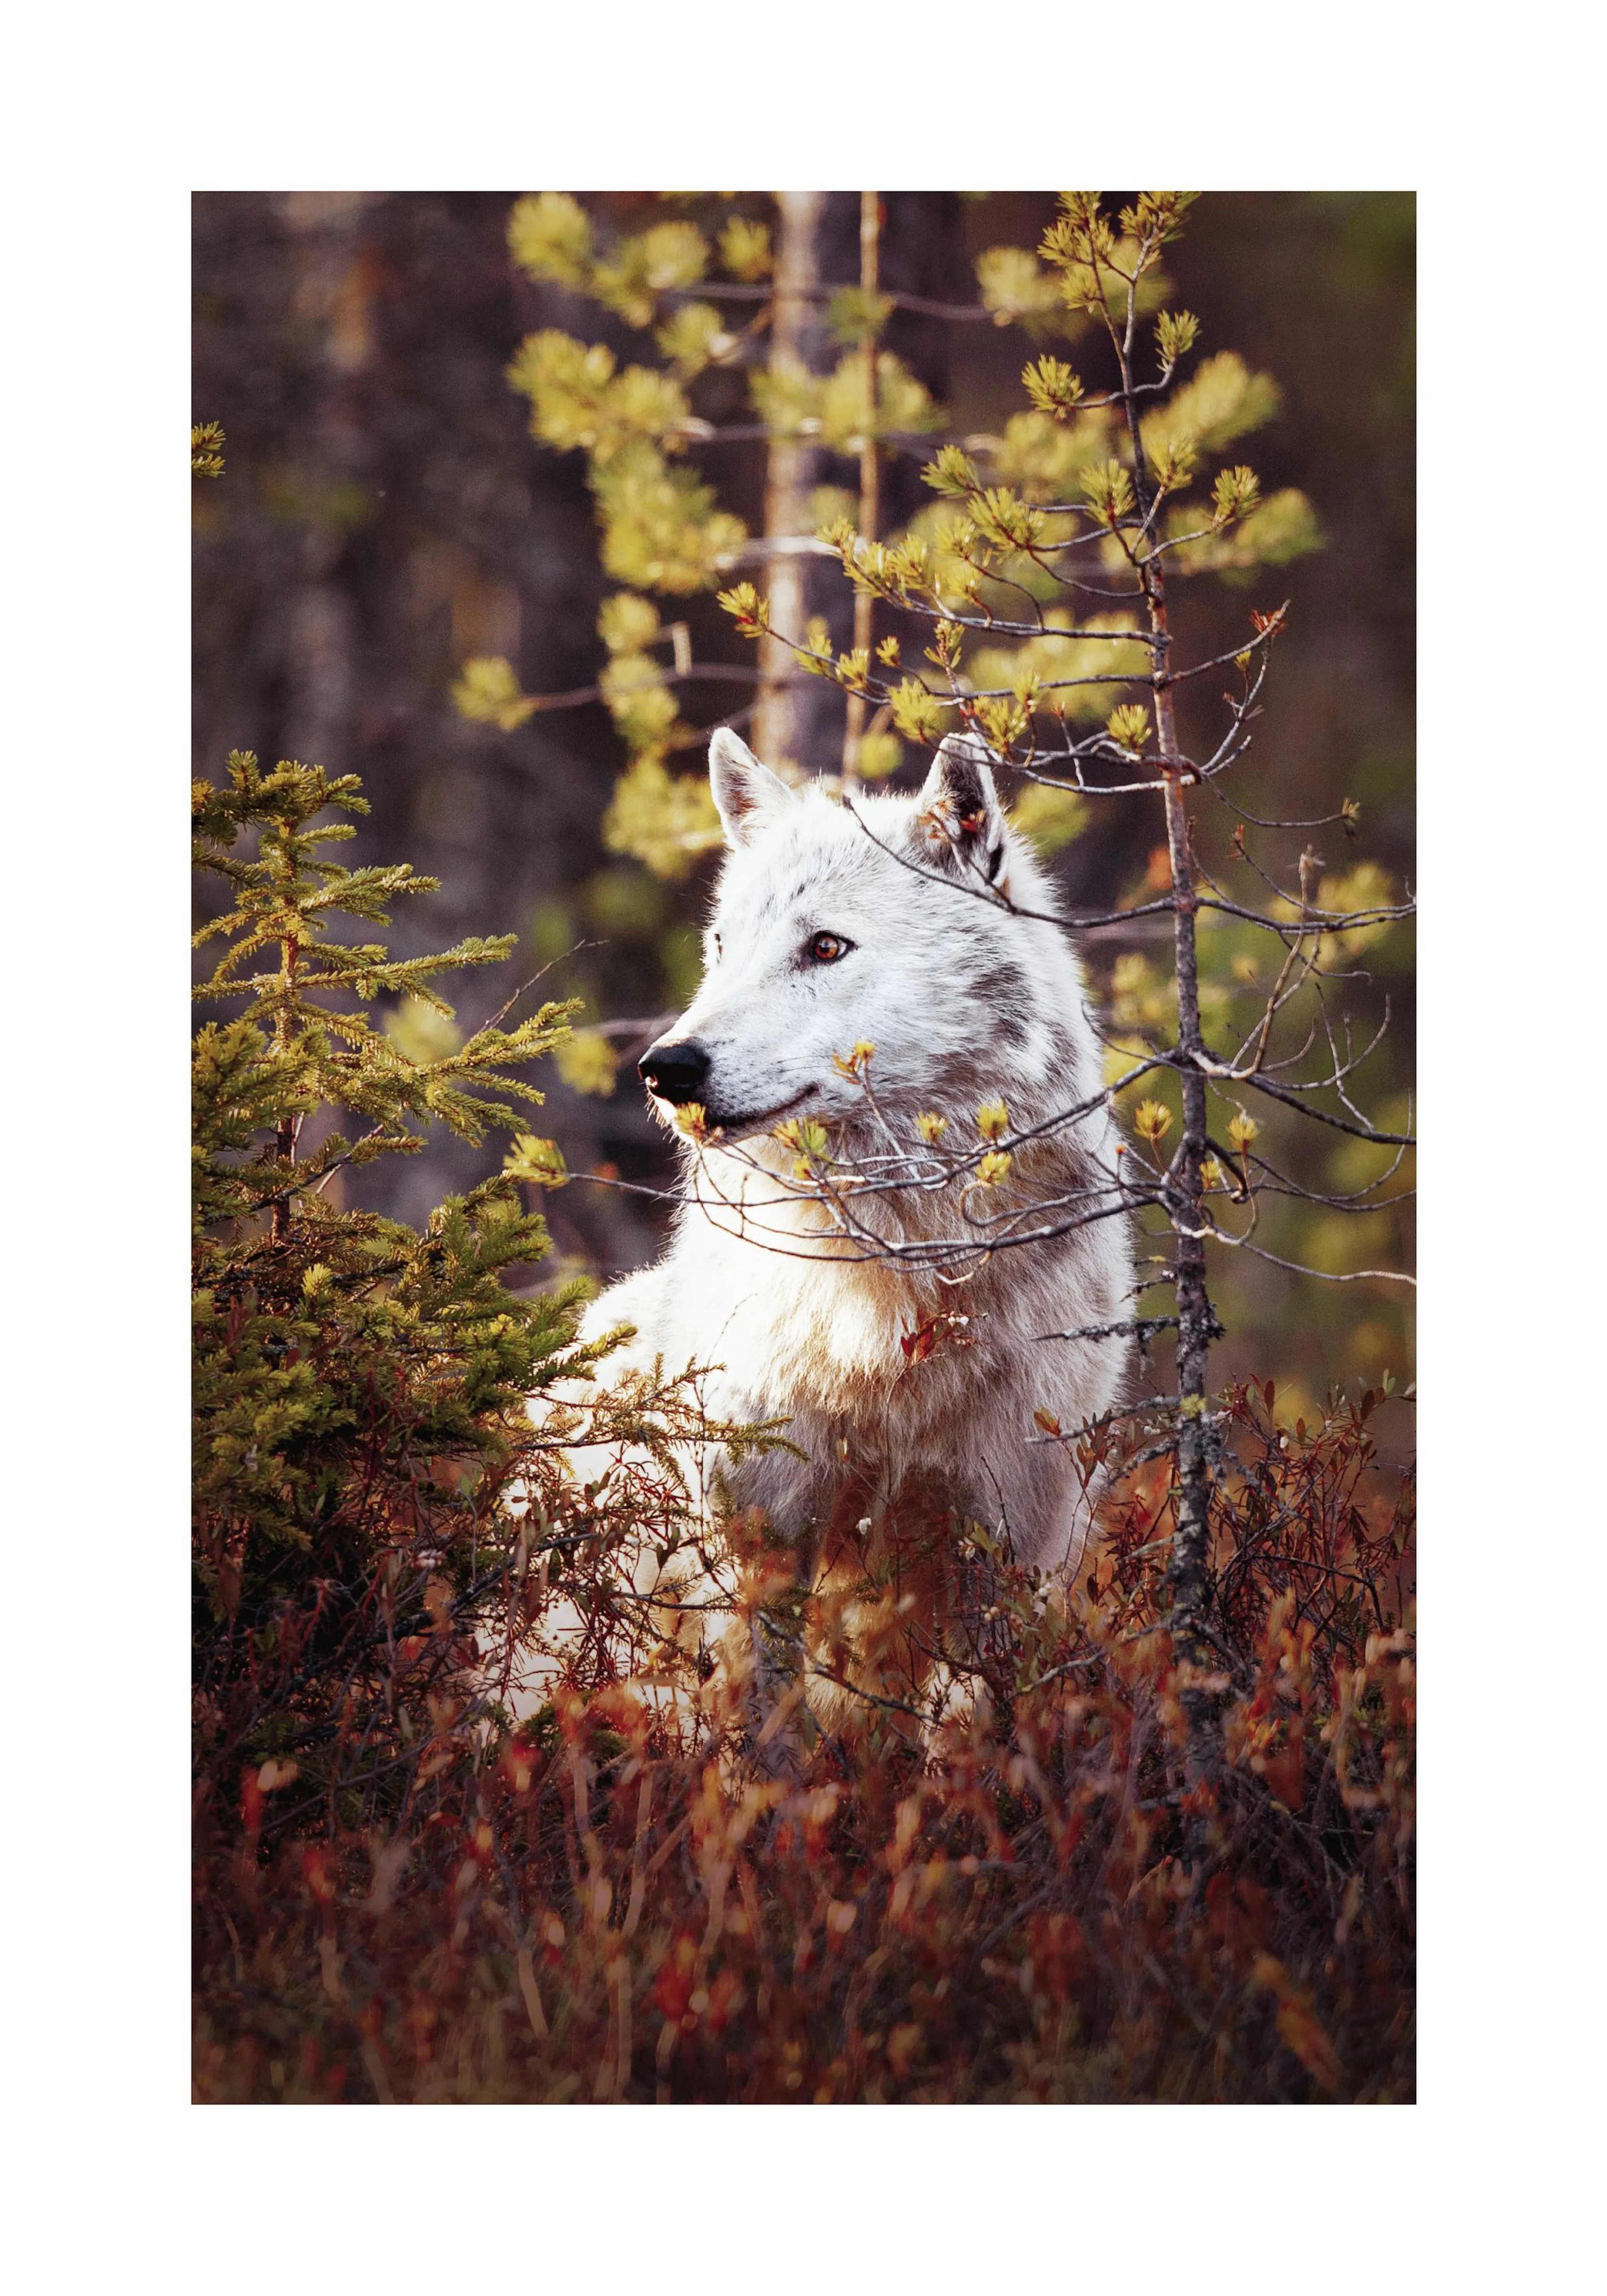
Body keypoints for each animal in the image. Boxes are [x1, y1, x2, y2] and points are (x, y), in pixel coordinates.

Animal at [539, 728, 1135, 1731]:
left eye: (825, 947)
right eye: (721, 947)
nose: (666, 1068)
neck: (897, 1286)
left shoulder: (1005, 1552)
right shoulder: (760, 1542)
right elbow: (758, 1743)